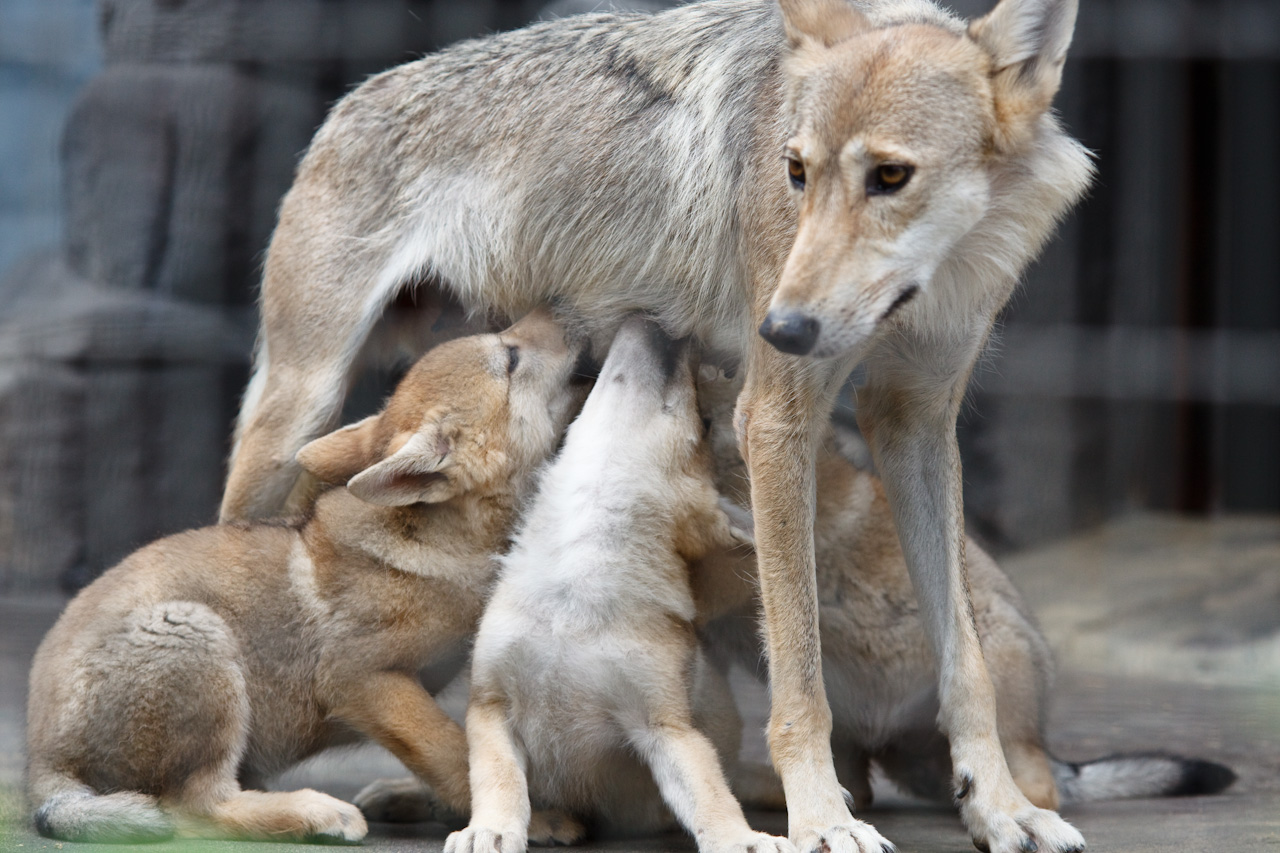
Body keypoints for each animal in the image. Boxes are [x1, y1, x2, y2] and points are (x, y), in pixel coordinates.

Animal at [220, 1, 1090, 850]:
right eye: (796, 171)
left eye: (891, 176)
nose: (782, 328)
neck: (931, 286)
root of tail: (352, 99)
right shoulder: (775, 418)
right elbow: (798, 673)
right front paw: (822, 820)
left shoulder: (916, 423)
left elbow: (964, 660)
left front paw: (1000, 809)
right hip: (297, 410)